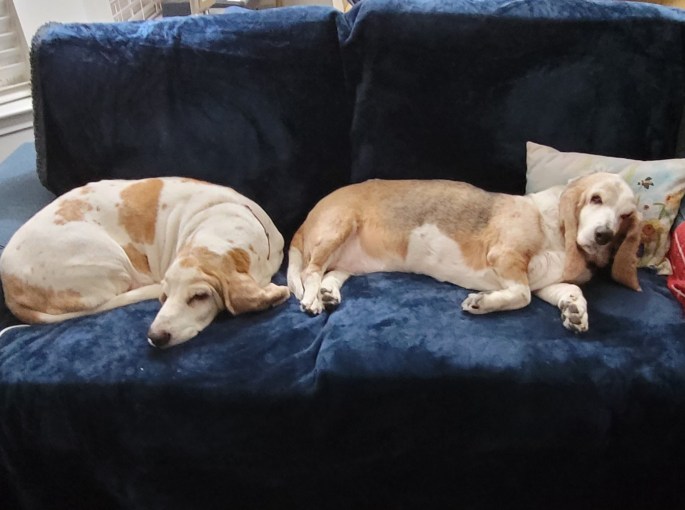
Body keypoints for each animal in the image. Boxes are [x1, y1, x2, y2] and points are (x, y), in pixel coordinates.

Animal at [0, 177, 290, 348]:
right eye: (165, 296)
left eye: (199, 296)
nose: (156, 337)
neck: (221, 221)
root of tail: (9, 286)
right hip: (111, 257)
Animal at [287, 173, 641, 332]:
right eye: (596, 198)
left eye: (626, 215)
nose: (604, 236)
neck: (553, 229)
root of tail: (308, 217)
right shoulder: (506, 258)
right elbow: (522, 295)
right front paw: (483, 303)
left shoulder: (545, 282)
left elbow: (569, 291)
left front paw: (575, 311)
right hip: (338, 228)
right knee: (310, 272)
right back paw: (313, 299)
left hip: (352, 262)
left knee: (330, 275)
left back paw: (329, 294)